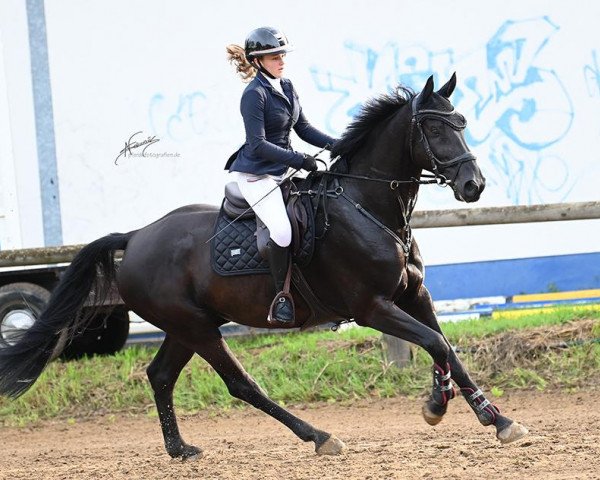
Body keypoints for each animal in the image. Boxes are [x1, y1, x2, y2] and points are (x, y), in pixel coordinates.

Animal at [0, 73, 524, 460]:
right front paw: (442, 406)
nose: (473, 185)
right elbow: (434, 342)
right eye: (434, 129)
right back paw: (319, 437)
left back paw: (180, 449)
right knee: (239, 383)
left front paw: (492, 417)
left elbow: (446, 346)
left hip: (187, 324)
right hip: (196, 327)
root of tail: (136, 236)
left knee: (160, 375)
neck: (369, 207)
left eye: (461, 122)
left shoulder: (414, 294)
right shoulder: (372, 306)